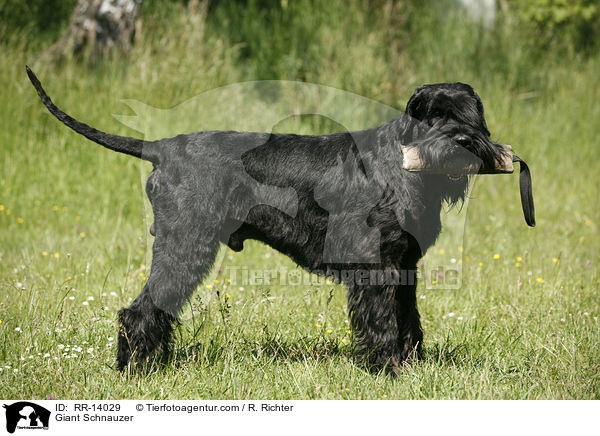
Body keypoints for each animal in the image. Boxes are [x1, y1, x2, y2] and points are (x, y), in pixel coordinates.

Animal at [27, 66, 516, 372]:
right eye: (430, 115)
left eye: (470, 115)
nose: (461, 141)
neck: (401, 163)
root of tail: (162, 147)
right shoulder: (374, 265)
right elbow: (381, 318)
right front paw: (387, 369)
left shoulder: (404, 264)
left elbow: (407, 316)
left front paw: (410, 364)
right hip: (185, 245)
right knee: (139, 310)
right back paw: (135, 370)